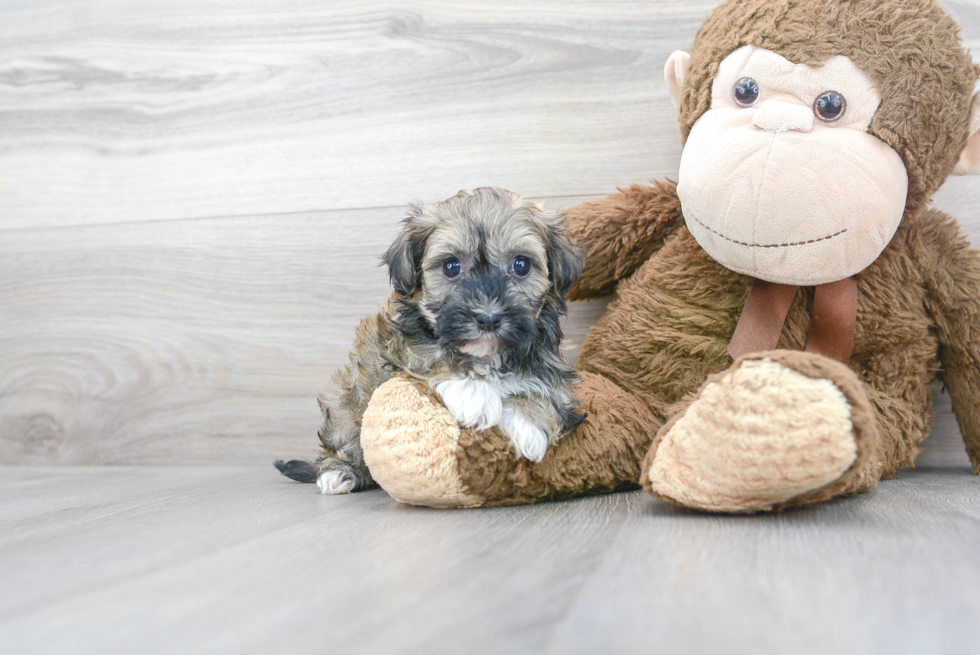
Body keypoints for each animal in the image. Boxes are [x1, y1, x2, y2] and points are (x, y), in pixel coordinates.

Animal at [276, 187, 580, 494]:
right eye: (451, 266)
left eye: (521, 265)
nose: (488, 318)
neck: (486, 355)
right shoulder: (399, 347)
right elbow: (436, 357)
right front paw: (476, 396)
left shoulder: (550, 362)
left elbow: (546, 388)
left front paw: (528, 424)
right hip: (346, 405)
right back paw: (338, 472)